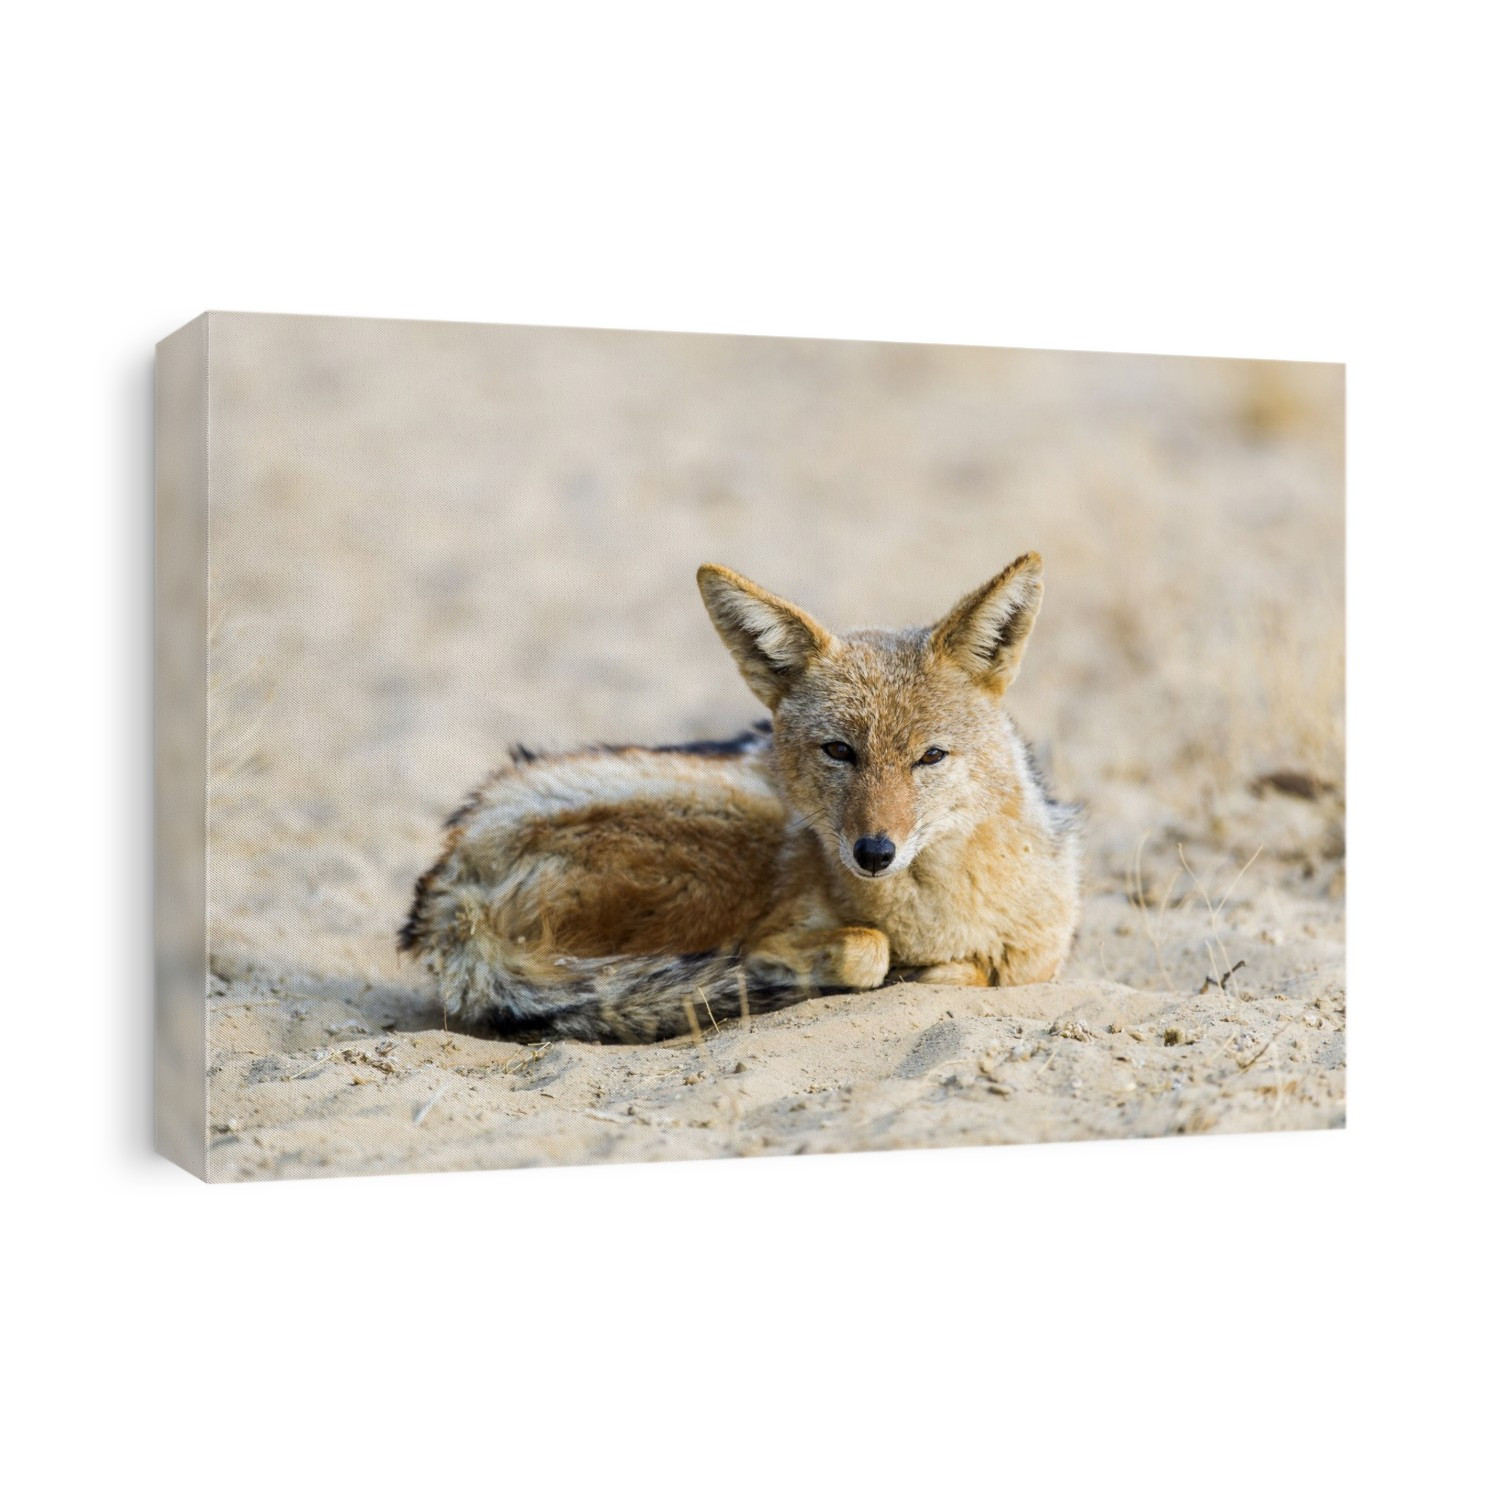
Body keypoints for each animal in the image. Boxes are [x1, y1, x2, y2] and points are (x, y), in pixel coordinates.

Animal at [399, 552, 1082, 1043]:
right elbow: (864, 950)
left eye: (930, 757)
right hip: (735, 845)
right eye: (839, 751)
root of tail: (449, 876)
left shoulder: (1043, 950)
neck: (943, 909)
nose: (873, 853)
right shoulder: (796, 925)